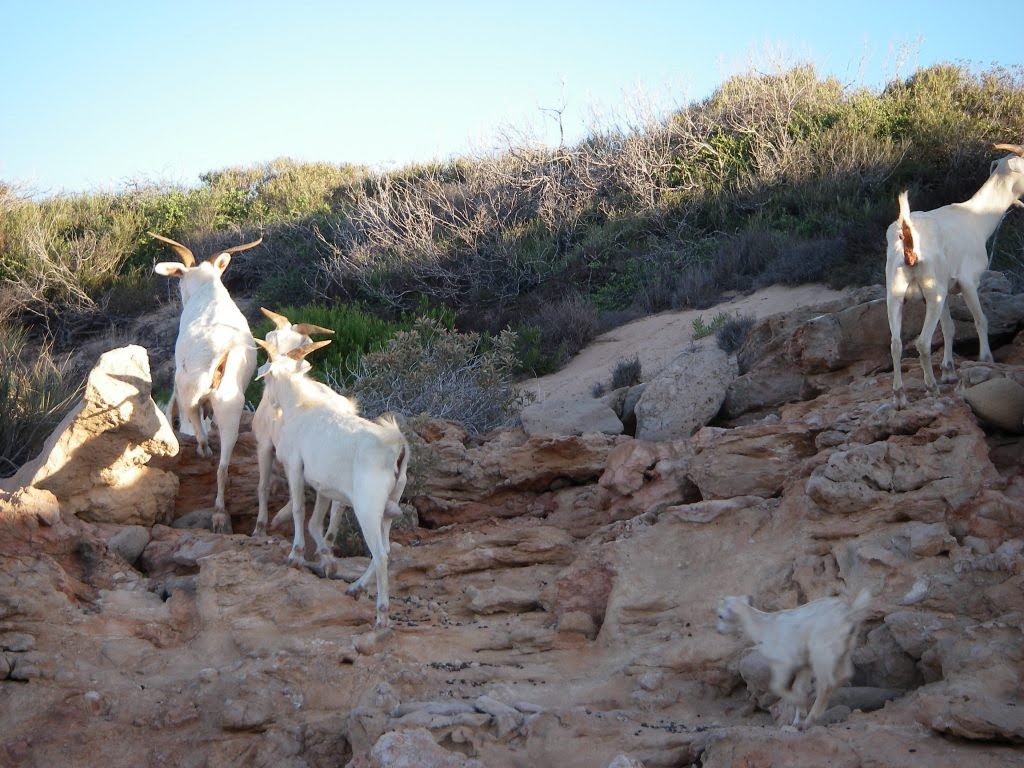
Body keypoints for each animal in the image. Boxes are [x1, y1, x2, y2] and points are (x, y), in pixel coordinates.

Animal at [153, 233, 264, 536]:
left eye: (179, 278)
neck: (208, 291)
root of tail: (225, 349)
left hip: (189, 383)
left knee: (193, 415)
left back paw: (203, 449)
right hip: (232, 403)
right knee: (224, 462)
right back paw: (220, 516)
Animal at [253, 339, 409, 626]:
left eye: (267, 377)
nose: (270, 401)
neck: (301, 409)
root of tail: (396, 449)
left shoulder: (294, 466)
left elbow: (299, 510)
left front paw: (296, 555)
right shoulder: (323, 486)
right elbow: (315, 523)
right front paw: (327, 559)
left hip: (368, 509)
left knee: (381, 554)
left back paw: (381, 615)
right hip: (388, 510)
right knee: (386, 549)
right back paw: (355, 588)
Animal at [712, 593, 872, 729]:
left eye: (720, 615)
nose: (718, 631)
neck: (764, 627)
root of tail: (848, 614)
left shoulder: (783, 663)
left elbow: (777, 687)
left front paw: (800, 705)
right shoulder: (803, 666)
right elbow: (799, 687)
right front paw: (797, 718)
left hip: (821, 651)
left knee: (826, 683)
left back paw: (810, 720)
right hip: (844, 649)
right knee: (845, 675)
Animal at [880, 144, 1024, 409]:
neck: (976, 218)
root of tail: (908, 240)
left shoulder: (946, 290)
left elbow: (949, 327)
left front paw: (948, 372)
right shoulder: (968, 282)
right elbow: (980, 320)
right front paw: (986, 358)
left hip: (896, 292)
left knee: (895, 343)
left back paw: (900, 396)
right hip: (931, 292)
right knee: (922, 342)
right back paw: (931, 387)